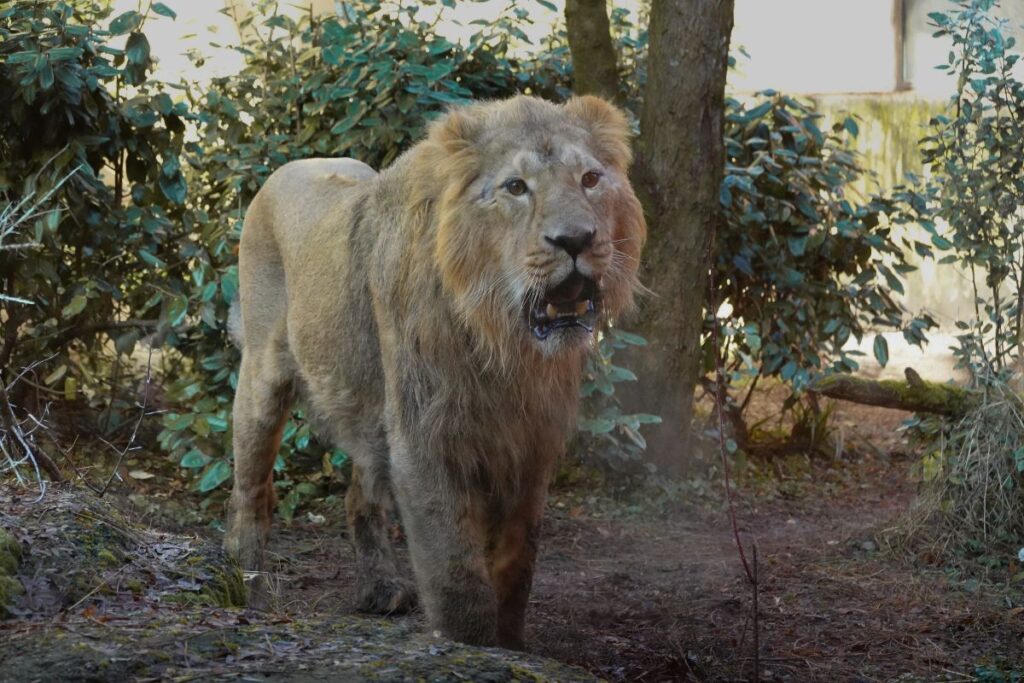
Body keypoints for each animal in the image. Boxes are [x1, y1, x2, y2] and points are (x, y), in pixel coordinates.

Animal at [224, 95, 646, 649]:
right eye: (516, 187)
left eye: (591, 179)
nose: (575, 239)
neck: (503, 342)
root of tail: (295, 164)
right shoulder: (426, 431)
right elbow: (455, 573)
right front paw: (472, 646)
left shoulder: (531, 441)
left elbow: (517, 562)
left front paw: (512, 645)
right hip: (263, 377)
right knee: (252, 492)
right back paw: (247, 589)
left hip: (371, 409)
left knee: (358, 497)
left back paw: (380, 589)